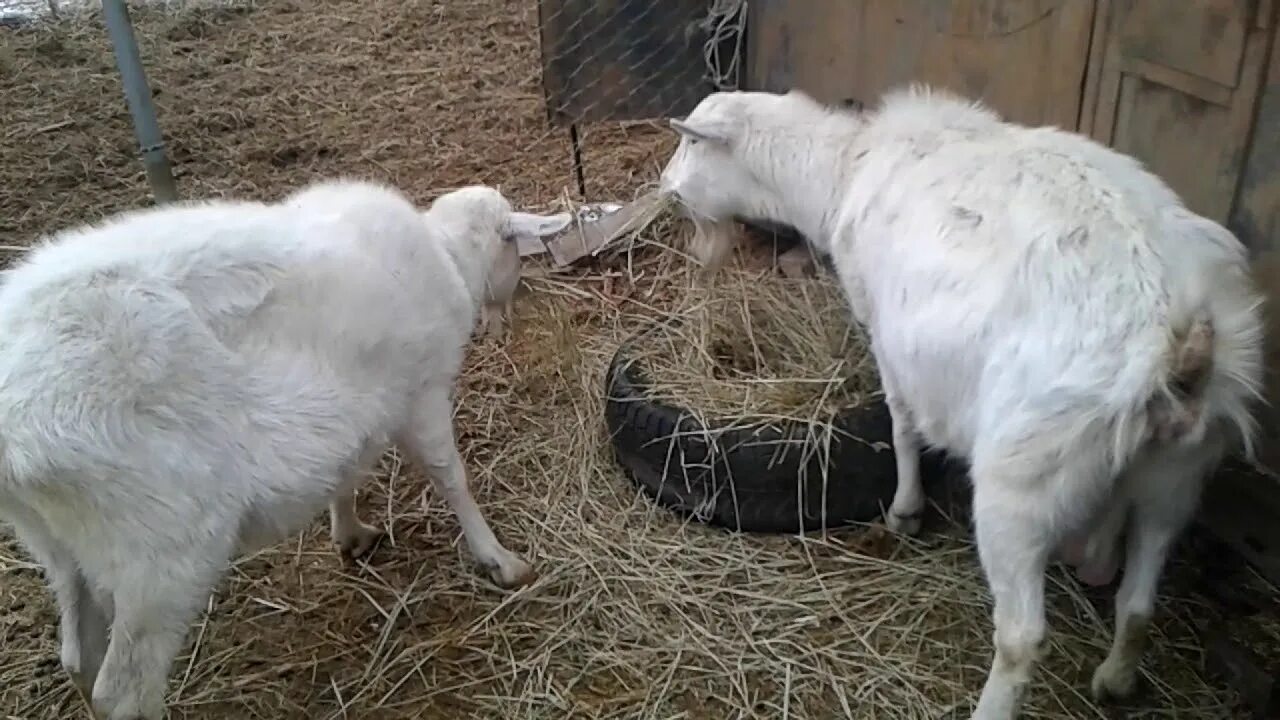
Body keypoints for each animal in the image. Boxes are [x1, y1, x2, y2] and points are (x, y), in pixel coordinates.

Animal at [0, 178, 570, 717]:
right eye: (514, 250)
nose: (504, 319)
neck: (447, 257)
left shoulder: (357, 409)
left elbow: (346, 471)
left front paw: (350, 535)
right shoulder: (422, 393)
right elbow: (451, 477)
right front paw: (499, 560)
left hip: (58, 542)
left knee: (77, 658)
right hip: (160, 550)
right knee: (121, 693)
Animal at [665, 87, 1264, 712]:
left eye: (689, 143)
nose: (665, 186)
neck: (844, 167)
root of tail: (1178, 344)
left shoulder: (888, 337)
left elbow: (901, 425)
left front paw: (905, 509)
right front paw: (1096, 554)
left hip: (1023, 479)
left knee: (1022, 636)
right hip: (1178, 472)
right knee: (1143, 594)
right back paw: (1115, 676)